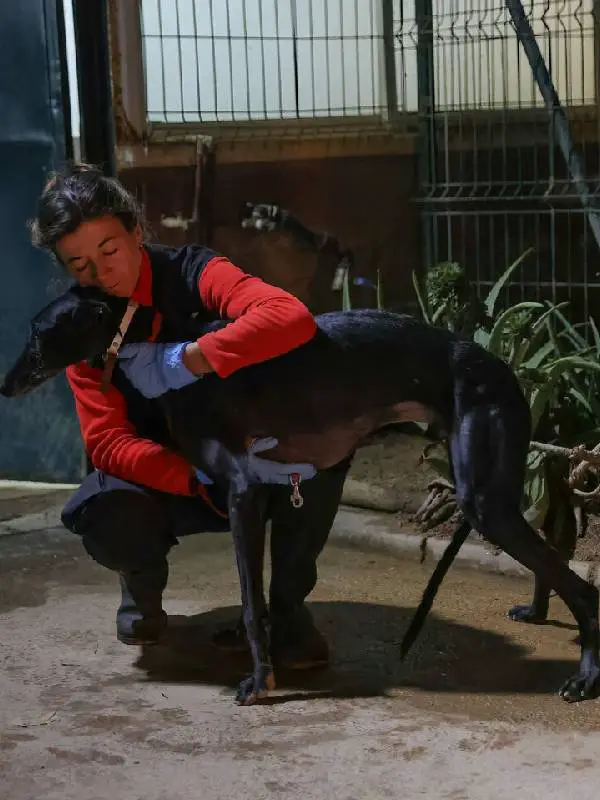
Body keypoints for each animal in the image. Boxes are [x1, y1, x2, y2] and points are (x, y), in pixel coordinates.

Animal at [1, 282, 600, 708]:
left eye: (37, 331)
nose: (4, 387)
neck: (162, 344)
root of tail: (500, 365)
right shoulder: (255, 490)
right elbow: (259, 594)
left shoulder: (241, 490)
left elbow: (250, 600)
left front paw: (260, 682)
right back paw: (539, 614)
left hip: (483, 497)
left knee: (583, 588)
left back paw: (586, 676)